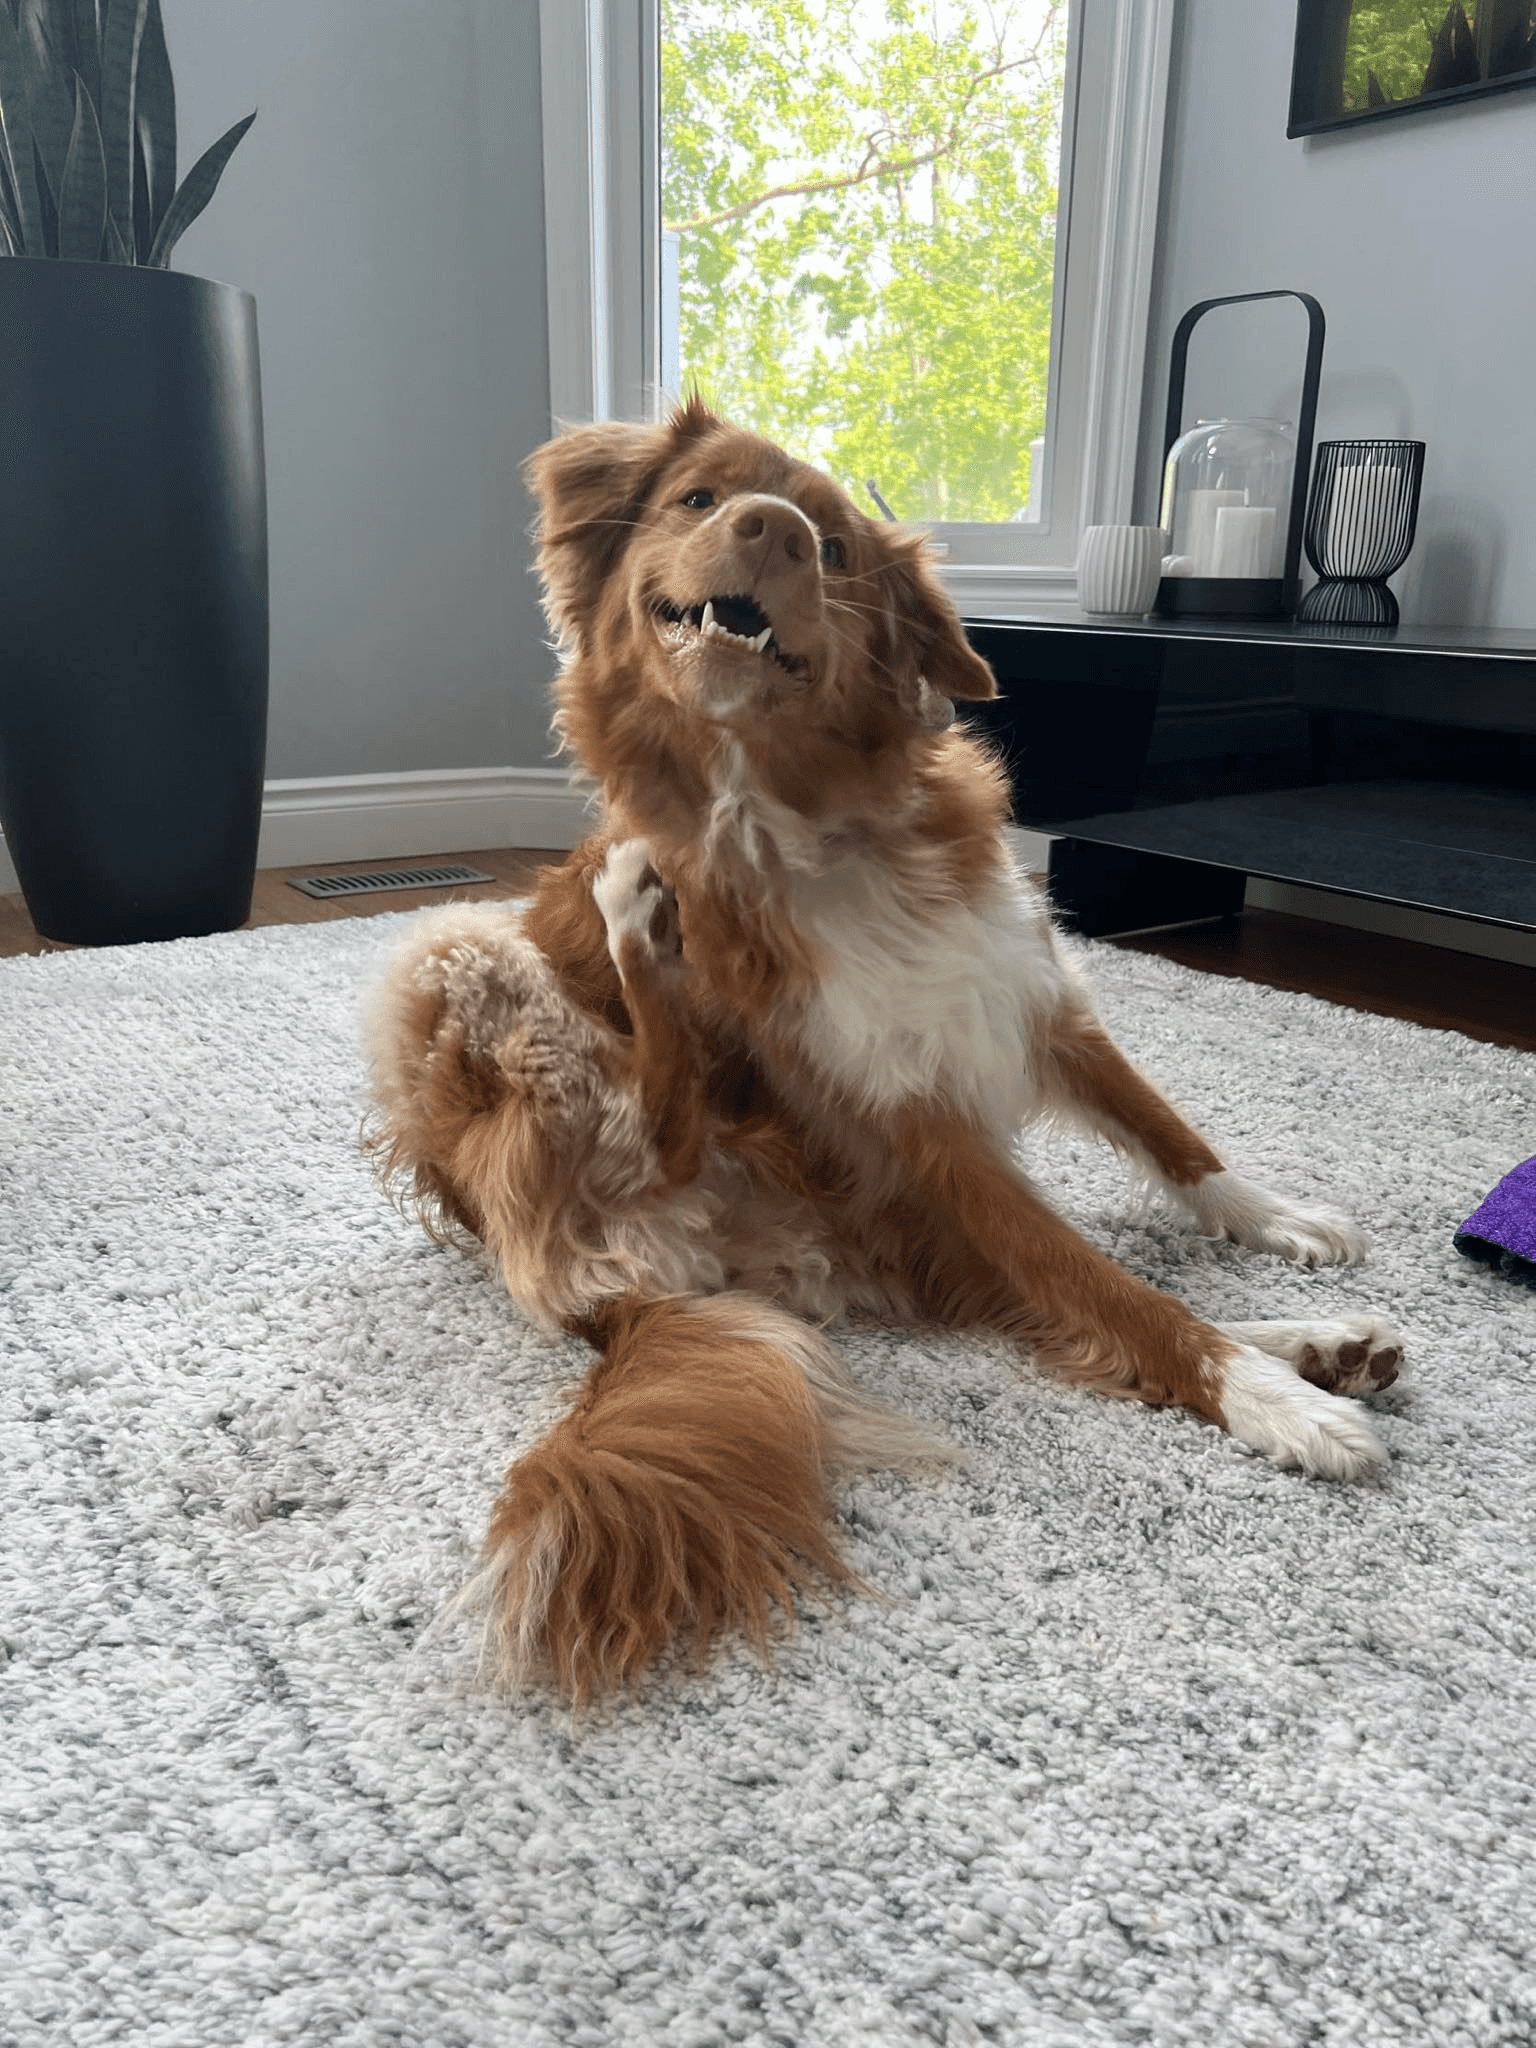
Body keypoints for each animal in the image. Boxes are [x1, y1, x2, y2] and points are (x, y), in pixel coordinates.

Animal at [364, 391, 1409, 1703]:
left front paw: (1273, 1226)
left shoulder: (1033, 997)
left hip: (858, 1217)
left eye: (835, 546)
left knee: (1006, 1295)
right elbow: (1109, 1286)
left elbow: (1166, 1147)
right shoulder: (914, 1129)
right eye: (700, 498)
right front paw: (1266, 1401)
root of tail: (617, 1309)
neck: (817, 819)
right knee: (671, 1115)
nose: (769, 528)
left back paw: (1326, 1344)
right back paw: (638, 925)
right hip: (450, 955)